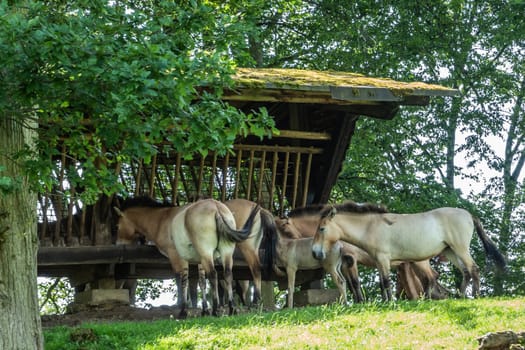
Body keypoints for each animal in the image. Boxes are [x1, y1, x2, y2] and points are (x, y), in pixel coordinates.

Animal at [116, 197, 260, 318]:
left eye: (117, 226)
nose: (118, 244)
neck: (161, 220)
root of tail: (216, 207)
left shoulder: (177, 258)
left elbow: (181, 281)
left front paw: (183, 310)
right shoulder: (200, 261)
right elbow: (201, 282)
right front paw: (204, 311)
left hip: (207, 253)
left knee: (213, 275)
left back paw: (216, 310)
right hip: (225, 253)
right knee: (228, 274)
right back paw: (232, 309)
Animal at [312, 202, 508, 300]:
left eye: (321, 228)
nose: (315, 252)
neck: (371, 226)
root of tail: (469, 215)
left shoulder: (383, 259)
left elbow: (385, 282)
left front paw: (391, 302)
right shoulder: (379, 262)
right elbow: (382, 283)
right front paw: (385, 302)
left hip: (460, 248)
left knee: (473, 269)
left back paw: (476, 295)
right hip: (451, 251)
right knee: (465, 272)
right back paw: (460, 296)